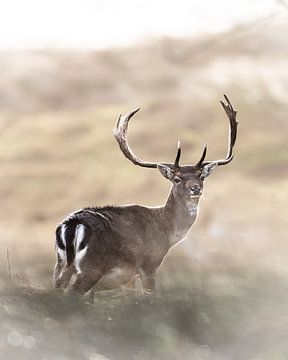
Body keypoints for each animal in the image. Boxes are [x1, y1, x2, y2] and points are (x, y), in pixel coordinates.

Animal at [53, 96, 238, 296]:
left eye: (201, 176)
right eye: (177, 179)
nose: (195, 188)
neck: (166, 233)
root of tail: (71, 224)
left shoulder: (129, 278)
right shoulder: (149, 263)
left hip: (60, 266)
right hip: (92, 266)